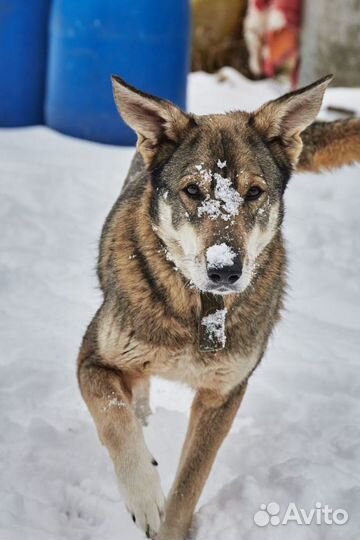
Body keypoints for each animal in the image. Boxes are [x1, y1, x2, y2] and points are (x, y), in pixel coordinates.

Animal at [77, 73, 358, 540]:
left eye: (254, 193)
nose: (225, 270)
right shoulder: (93, 359)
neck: (200, 309)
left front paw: (170, 524)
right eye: (193, 190)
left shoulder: (222, 396)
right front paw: (145, 496)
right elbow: (116, 421)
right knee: (133, 399)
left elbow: (190, 483)